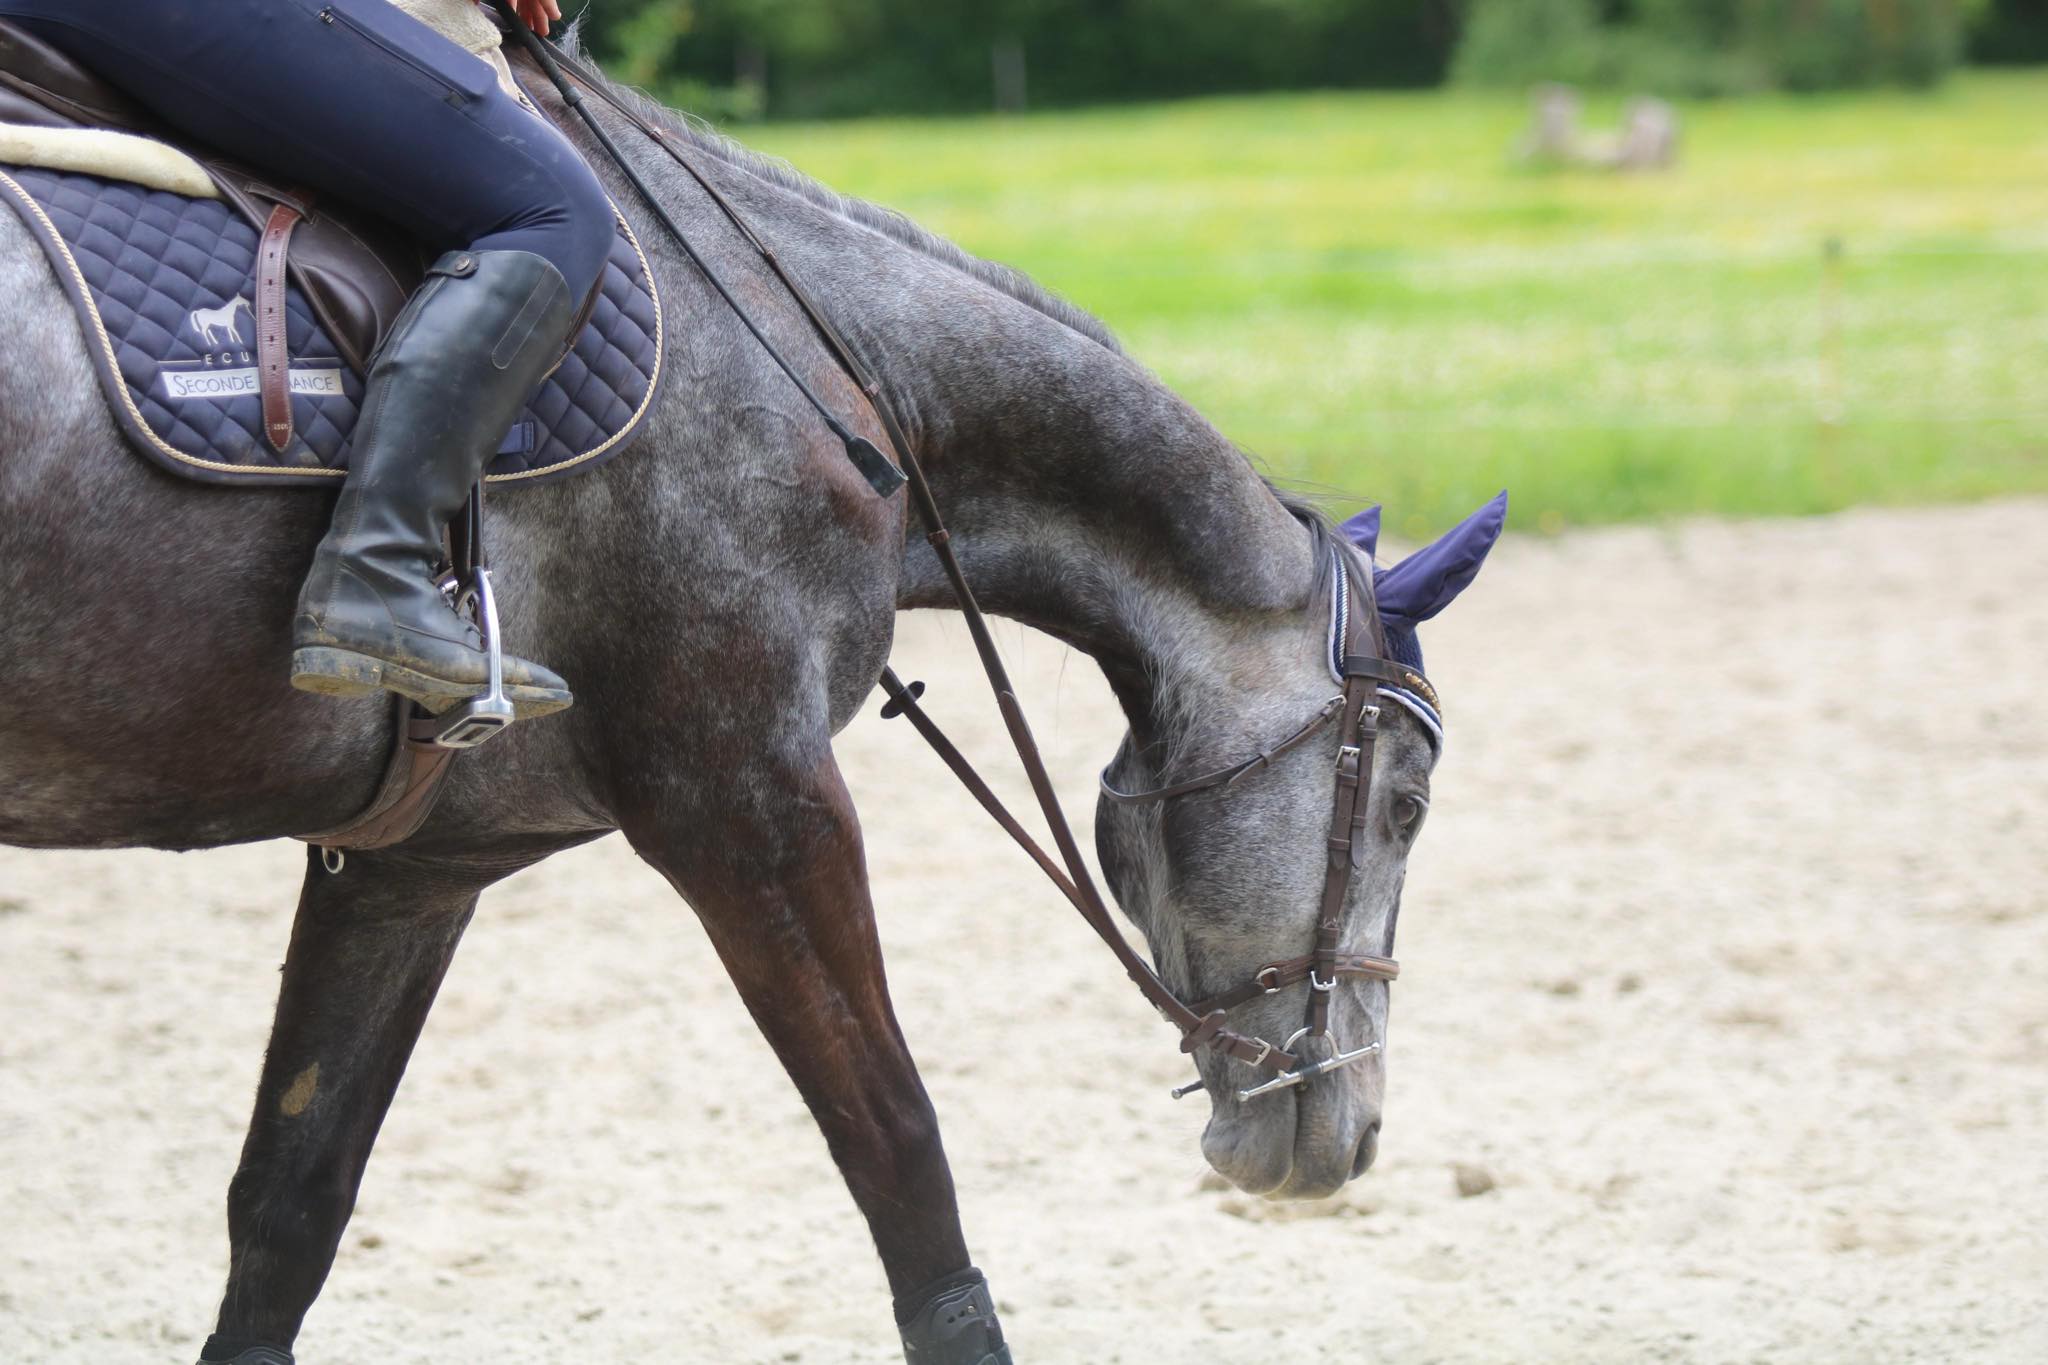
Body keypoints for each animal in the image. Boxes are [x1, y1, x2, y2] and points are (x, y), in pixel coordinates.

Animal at [0, 42, 1482, 1365]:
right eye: (1405, 806)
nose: (1346, 1135)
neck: (842, 386)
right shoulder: (749, 804)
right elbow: (903, 1162)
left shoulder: (412, 864)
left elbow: (289, 1205)